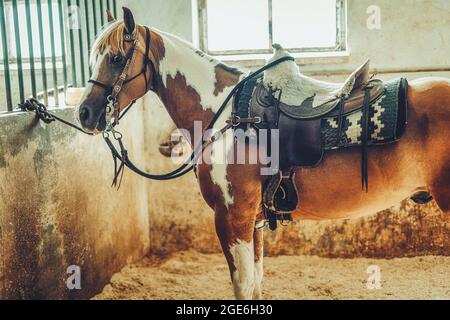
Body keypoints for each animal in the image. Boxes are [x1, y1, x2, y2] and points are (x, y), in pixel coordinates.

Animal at [78, 7, 450, 298]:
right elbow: (255, 284)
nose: (85, 113)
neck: (225, 114)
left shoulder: (233, 217)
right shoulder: (253, 220)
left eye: (116, 58)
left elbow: (242, 287)